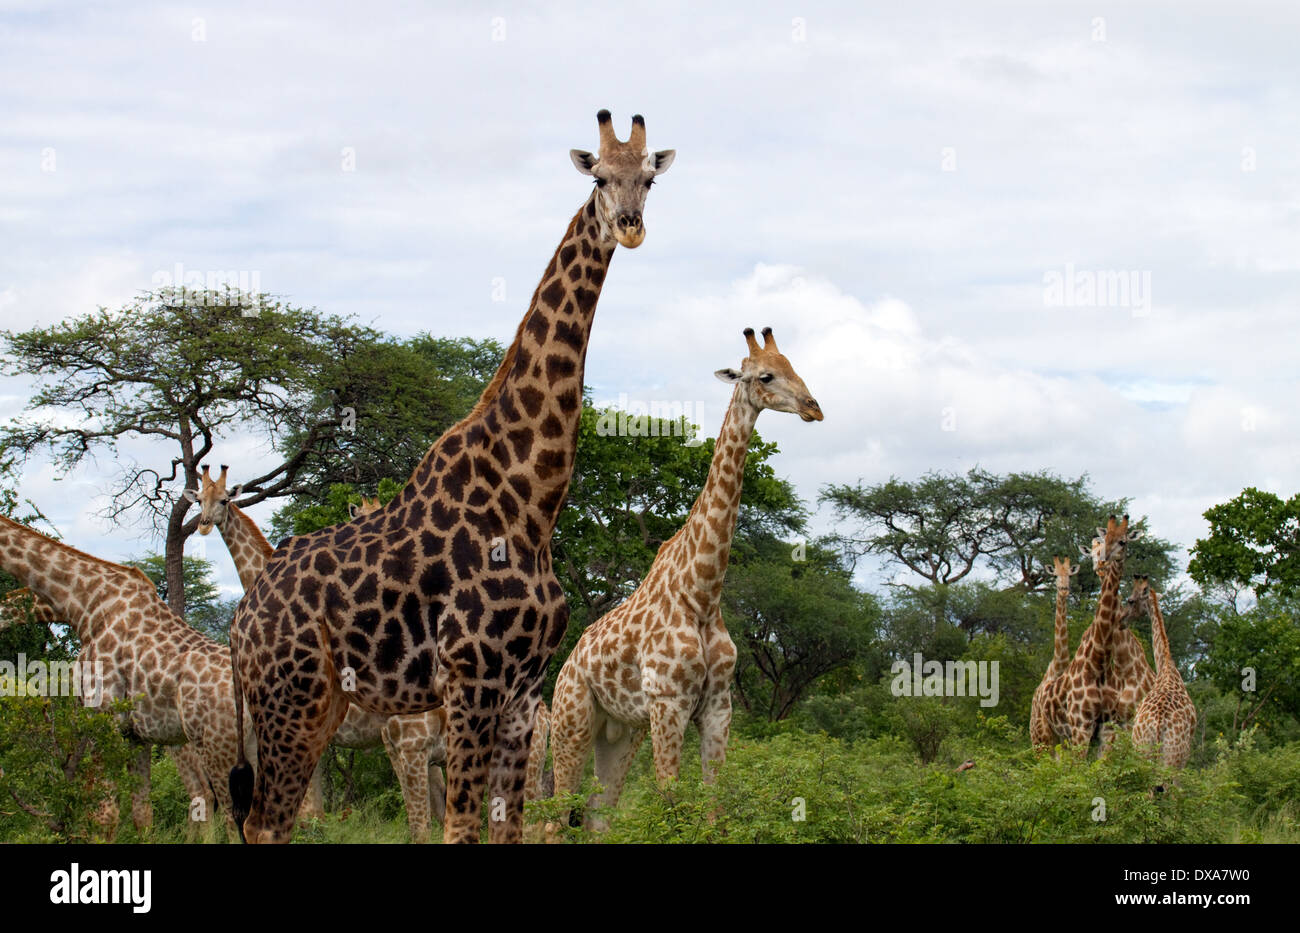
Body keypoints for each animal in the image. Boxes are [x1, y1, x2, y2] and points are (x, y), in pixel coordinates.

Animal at [0, 515, 252, 836]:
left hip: (218, 746)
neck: (84, 601)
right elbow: (142, 815)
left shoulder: (103, 718)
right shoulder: (136, 734)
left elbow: (105, 814)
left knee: (226, 812)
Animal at [229, 109, 675, 844]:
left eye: (649, 179)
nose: (631, 225)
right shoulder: (471, 681)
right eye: (599, 179)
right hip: (288, 697)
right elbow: (459, 826)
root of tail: (240, 619)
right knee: (265, 822)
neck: (533, 500)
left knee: (271, 819)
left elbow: (506, 829)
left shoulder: (521, 692)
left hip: (316, 704)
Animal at [547, 327, 822, 834]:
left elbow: (715, 805)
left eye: (795, 366)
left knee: (598, 814)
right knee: (553, 816)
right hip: (571, 717)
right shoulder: (668, 702)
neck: (702, 593)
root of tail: (568, 663)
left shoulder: (717, 705)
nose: (814, 407)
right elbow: (670, 800)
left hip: (620, 731)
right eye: (765, 376)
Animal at [1034, 515, 1141, 753]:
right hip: (1044, 736)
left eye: (1122, 541)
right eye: (1103, 541)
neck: (1098, 662)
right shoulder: (1080, 725)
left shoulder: (1107, 727)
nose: (1103, 562)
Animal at [1130, 577, 1196, 769]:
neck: (1166, 666)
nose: (1125, 617)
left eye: (1131, 600)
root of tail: (1158, 722)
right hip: (1172, 758)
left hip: (1143, 750)